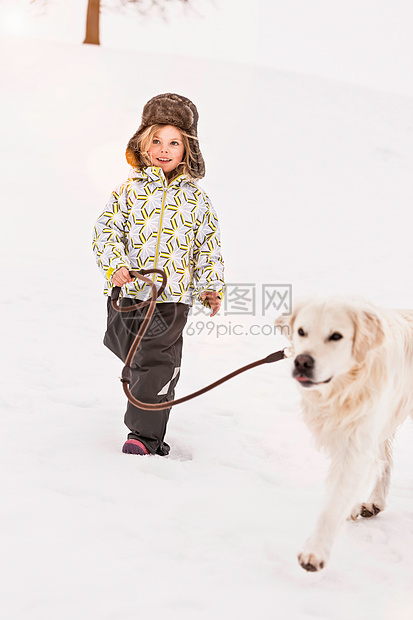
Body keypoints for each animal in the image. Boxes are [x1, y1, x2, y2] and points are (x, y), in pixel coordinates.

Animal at [276, 296, 412, 572]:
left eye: (336, 336)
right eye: (302, 331)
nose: (302, 361)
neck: (346, 386)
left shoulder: (358, 441)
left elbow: (334, 502)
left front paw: (315, 551)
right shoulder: (359, 429)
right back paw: (374, 502)